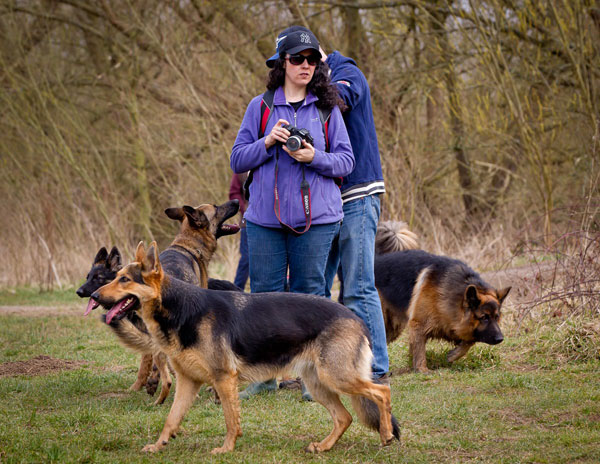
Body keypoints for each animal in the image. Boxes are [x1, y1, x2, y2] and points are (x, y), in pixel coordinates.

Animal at [94, 243, 400, 456]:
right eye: (115, 276)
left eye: (124, 280)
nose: (94, 295)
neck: (179, 308)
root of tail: (356, 318)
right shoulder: (188, 382)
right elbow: (171, 419)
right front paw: (159, 445)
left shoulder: (223, 379)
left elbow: (231, 419)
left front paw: (226, 449)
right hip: (319, 384)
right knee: (344, 417)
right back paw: (324, 446)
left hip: (337, 377)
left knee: (381, 392)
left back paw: (386, 435)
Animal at [376, 221, 510, 374]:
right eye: (484, 318)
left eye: (497, 317)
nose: (500, 339)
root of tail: (376, 259)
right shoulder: (418, 324)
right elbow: (419, 350)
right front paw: (422, 369)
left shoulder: (456, 326)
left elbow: (468, 342)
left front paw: (454, 355)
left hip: (393, 328)